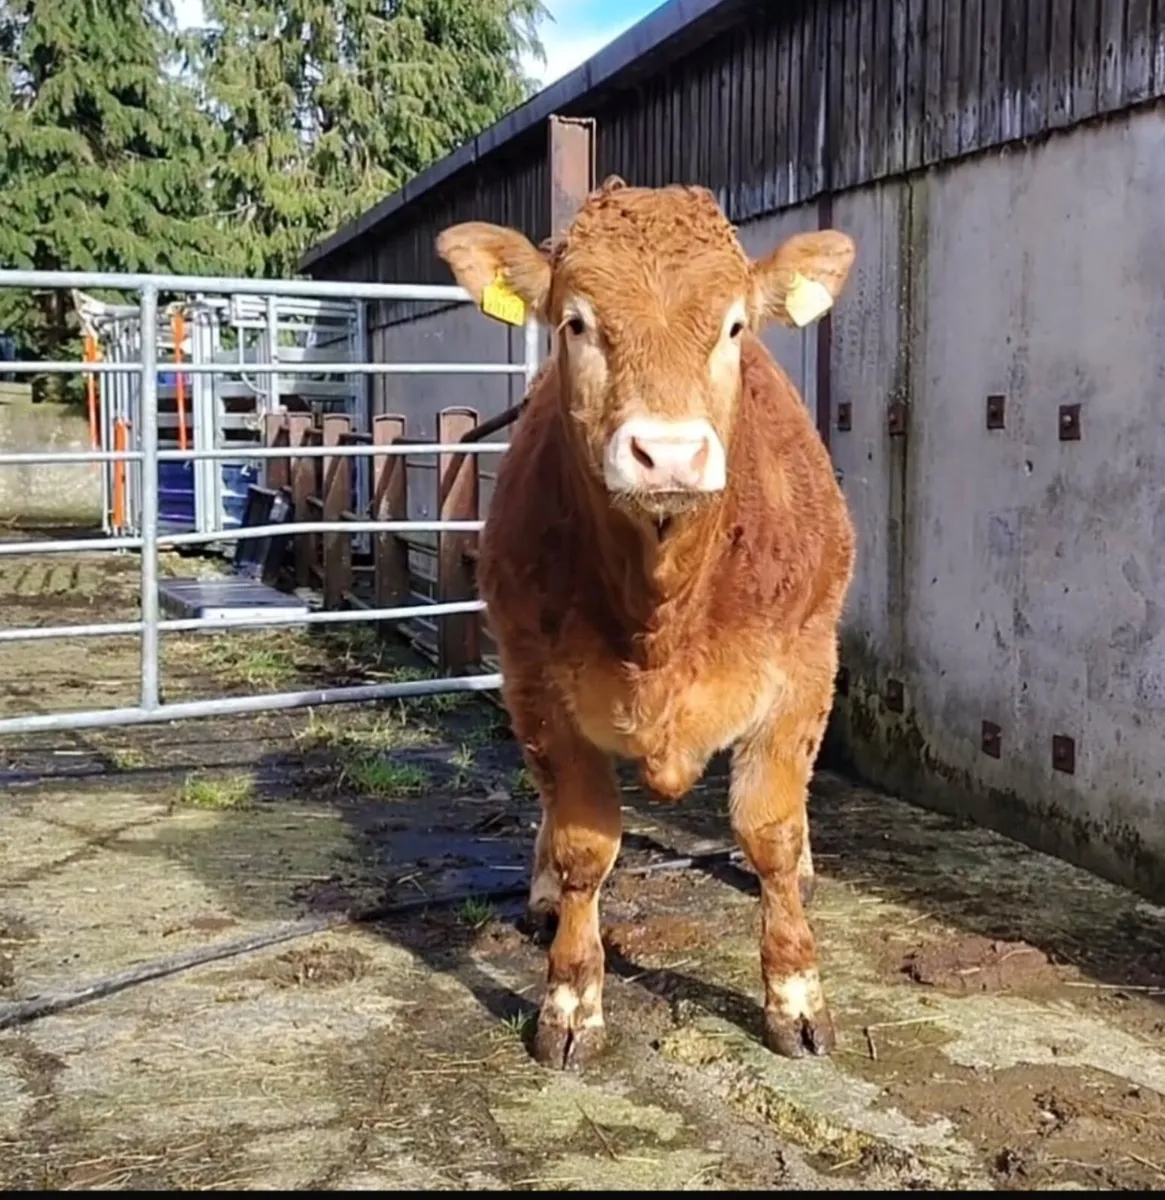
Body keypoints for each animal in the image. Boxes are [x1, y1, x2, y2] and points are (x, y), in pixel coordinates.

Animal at [436, 177, 856, 1071]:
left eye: (734, 325)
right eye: (575, 322)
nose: (666, 454)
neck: (663, 604)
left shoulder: (804, 669)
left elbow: (768, 830)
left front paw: (796, 996)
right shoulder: (533, 679)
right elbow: (583, 844)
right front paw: (569, 1002)